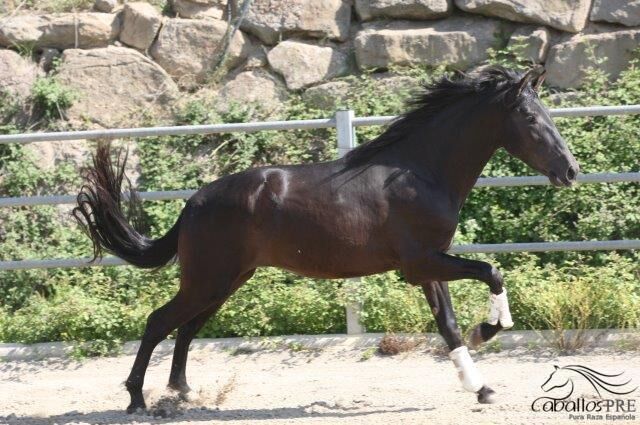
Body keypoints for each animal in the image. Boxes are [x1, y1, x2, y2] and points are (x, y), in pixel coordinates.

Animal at [74, 66, 580, 410]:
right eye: (531, 118)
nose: (571, 171)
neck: (419, 172)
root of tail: (194, 203)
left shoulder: (428, 265)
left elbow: (450, 325)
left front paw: (482, 386)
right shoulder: (421, 262)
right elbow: (491, 272)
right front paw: (489, 332)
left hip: (225, 282)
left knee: (185, 327)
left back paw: (182, 392)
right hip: (208, 280)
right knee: (159, 321)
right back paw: (137, 400)